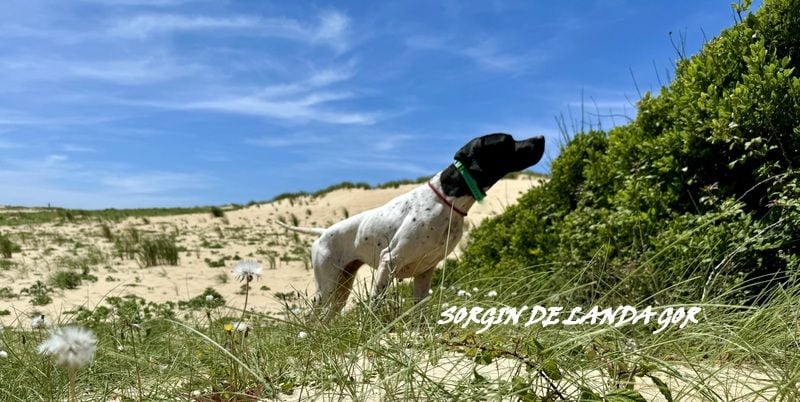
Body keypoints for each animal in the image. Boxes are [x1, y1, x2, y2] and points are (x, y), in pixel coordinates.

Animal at [276, 133, 544, 318]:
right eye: (508, 142)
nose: (541, 137)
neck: (447, 199)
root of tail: (323, 232)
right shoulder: (389, 261)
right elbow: (376, 303)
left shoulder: (425, 273)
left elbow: (420, 312)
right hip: (327, 288)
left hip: (342, 288)